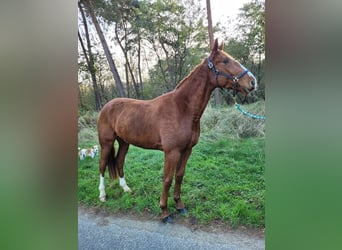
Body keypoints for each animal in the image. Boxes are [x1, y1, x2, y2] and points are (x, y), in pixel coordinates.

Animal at [97, 39, 256, 223]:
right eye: (225, 61)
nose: (252, 82)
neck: (182, 109)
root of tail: (106, 106)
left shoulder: (187, 150)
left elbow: (179, 176)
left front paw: (179, 205)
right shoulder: (171, 152)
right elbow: (167, 179)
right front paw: (164, 211)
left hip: (124, 142)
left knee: (119, 162)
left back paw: (126, 189)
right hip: (106, 143)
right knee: (102, 166)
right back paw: (102, 195)